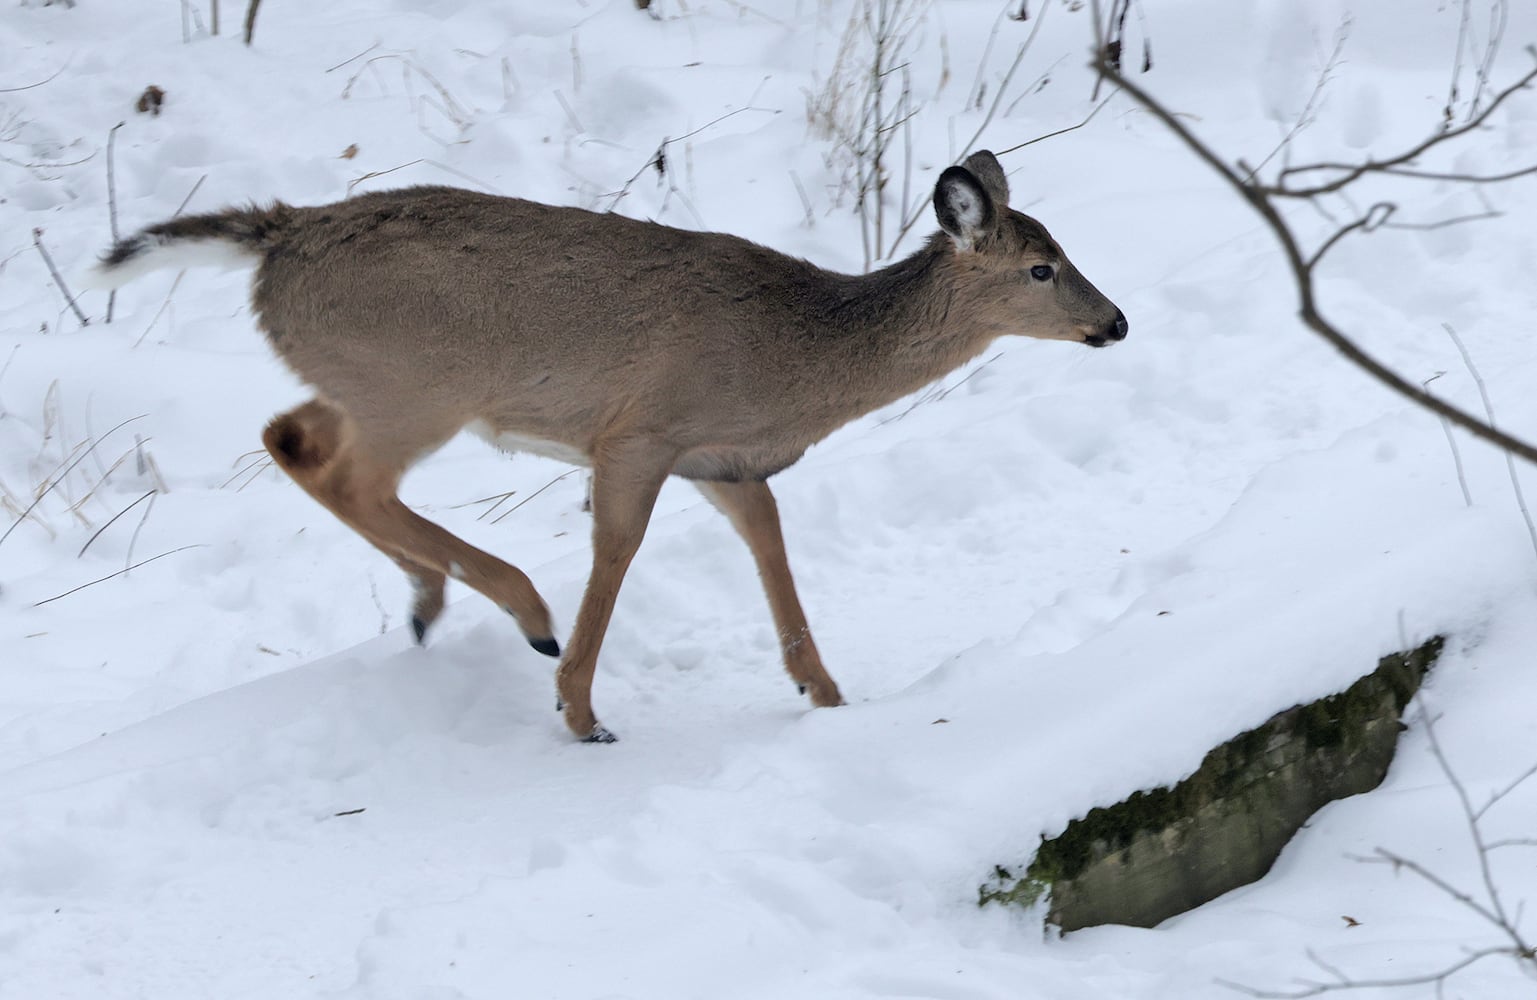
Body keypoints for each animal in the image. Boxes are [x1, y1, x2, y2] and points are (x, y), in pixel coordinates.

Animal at [92, 149, 1131, 743]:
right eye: (1040, 268)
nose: (1115, 322)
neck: (799, 355)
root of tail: (278, 235)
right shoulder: (640, 432)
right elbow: (617, 551)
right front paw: (580, 712)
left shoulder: (723, 459)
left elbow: (771, 546)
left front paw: (827, 699)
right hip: (417, 385)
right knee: (348, 475)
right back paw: (519, 611)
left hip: (364, 383)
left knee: (291, 439)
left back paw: (430, 602)